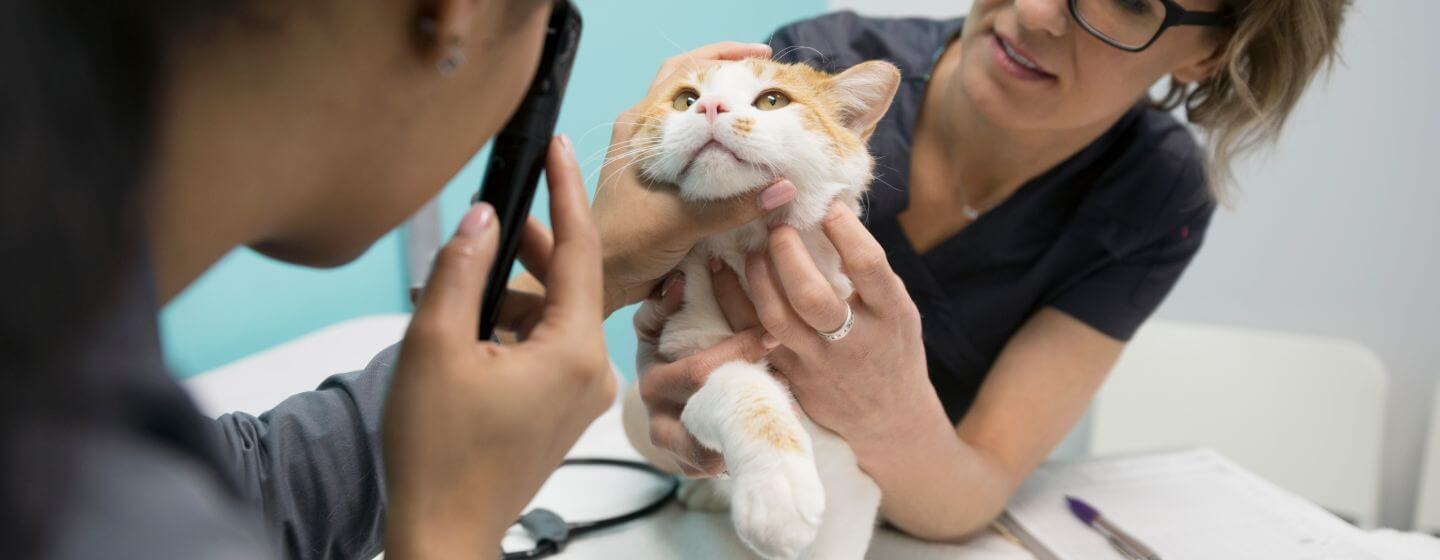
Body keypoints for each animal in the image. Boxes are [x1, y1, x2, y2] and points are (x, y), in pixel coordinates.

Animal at [619, 57, 898, 558]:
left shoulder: (854, 477)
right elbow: (742, 389)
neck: (743, 248)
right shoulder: (685, 362)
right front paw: (777, 488)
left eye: (772, 100)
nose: (710, 106)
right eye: (685, 99)